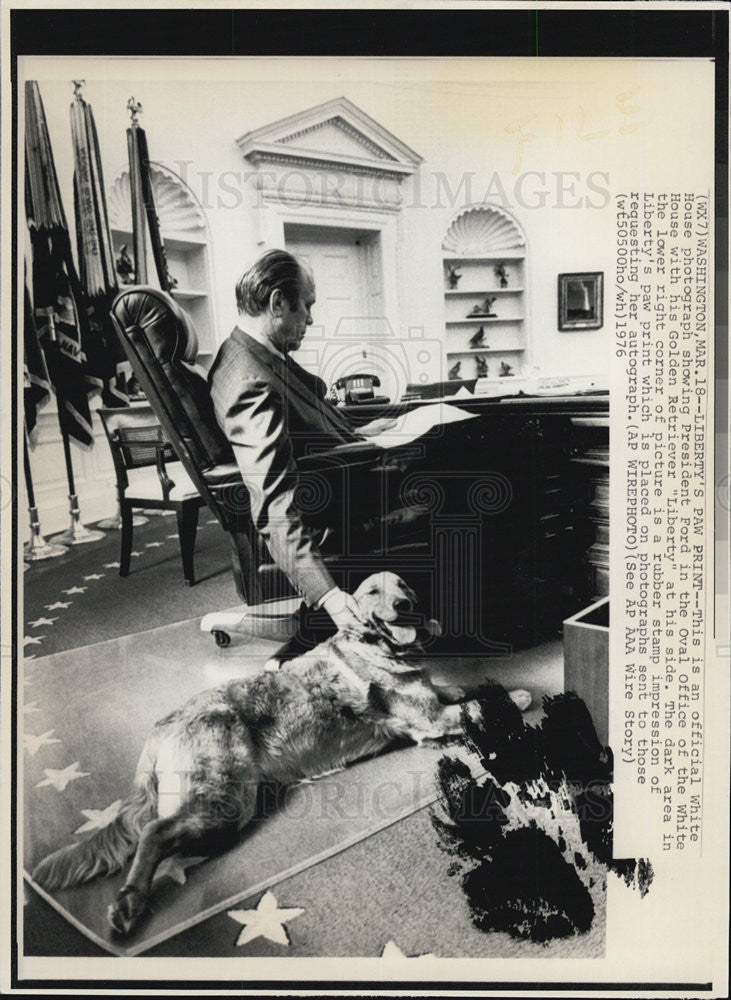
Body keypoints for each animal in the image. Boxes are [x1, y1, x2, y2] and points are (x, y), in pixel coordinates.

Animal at [31, 572, 528, 936]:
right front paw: (518, 698)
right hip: (224, 800)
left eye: (405, 587)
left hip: (221, 816)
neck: (377, 649)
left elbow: (461, 686)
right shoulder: (432, 720)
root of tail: (161, 728)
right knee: (154, 831)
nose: (405, 605)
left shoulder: (435, 699)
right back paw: (129, 903)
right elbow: (480, 704)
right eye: (373, 592)